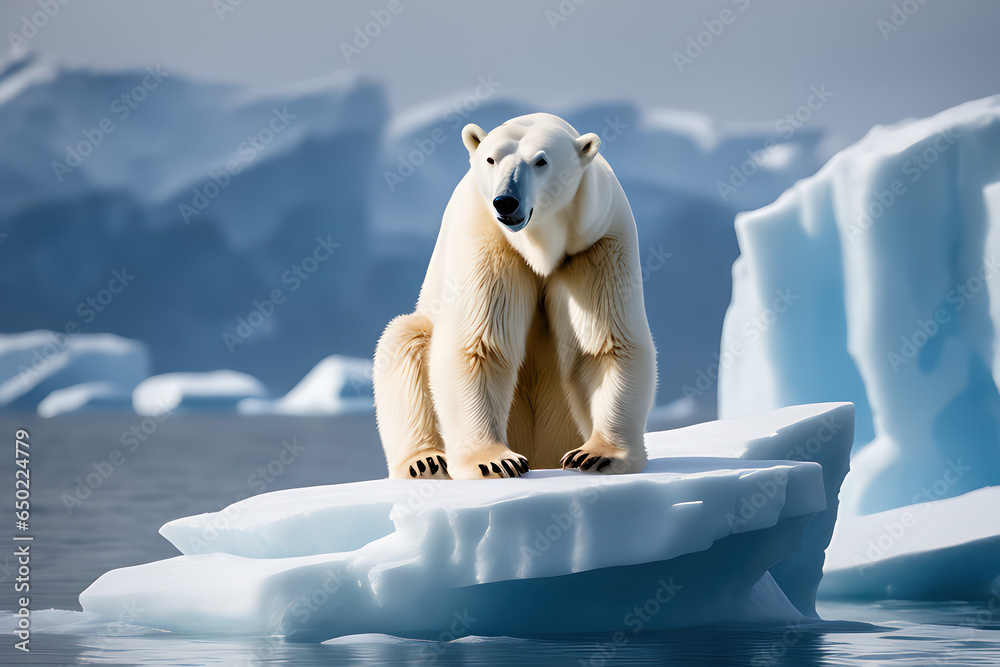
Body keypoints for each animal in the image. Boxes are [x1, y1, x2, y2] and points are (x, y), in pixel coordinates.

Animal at [373, 113, 656, 480]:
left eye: (541, 161)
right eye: (491, 159)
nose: (506, 202)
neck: (540, 246)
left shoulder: (596, 245)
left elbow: (605, 343)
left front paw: (595, 456)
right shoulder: (488, 241)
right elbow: (479, 344)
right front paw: (495, 461)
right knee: (403, 340)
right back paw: (426, 461)